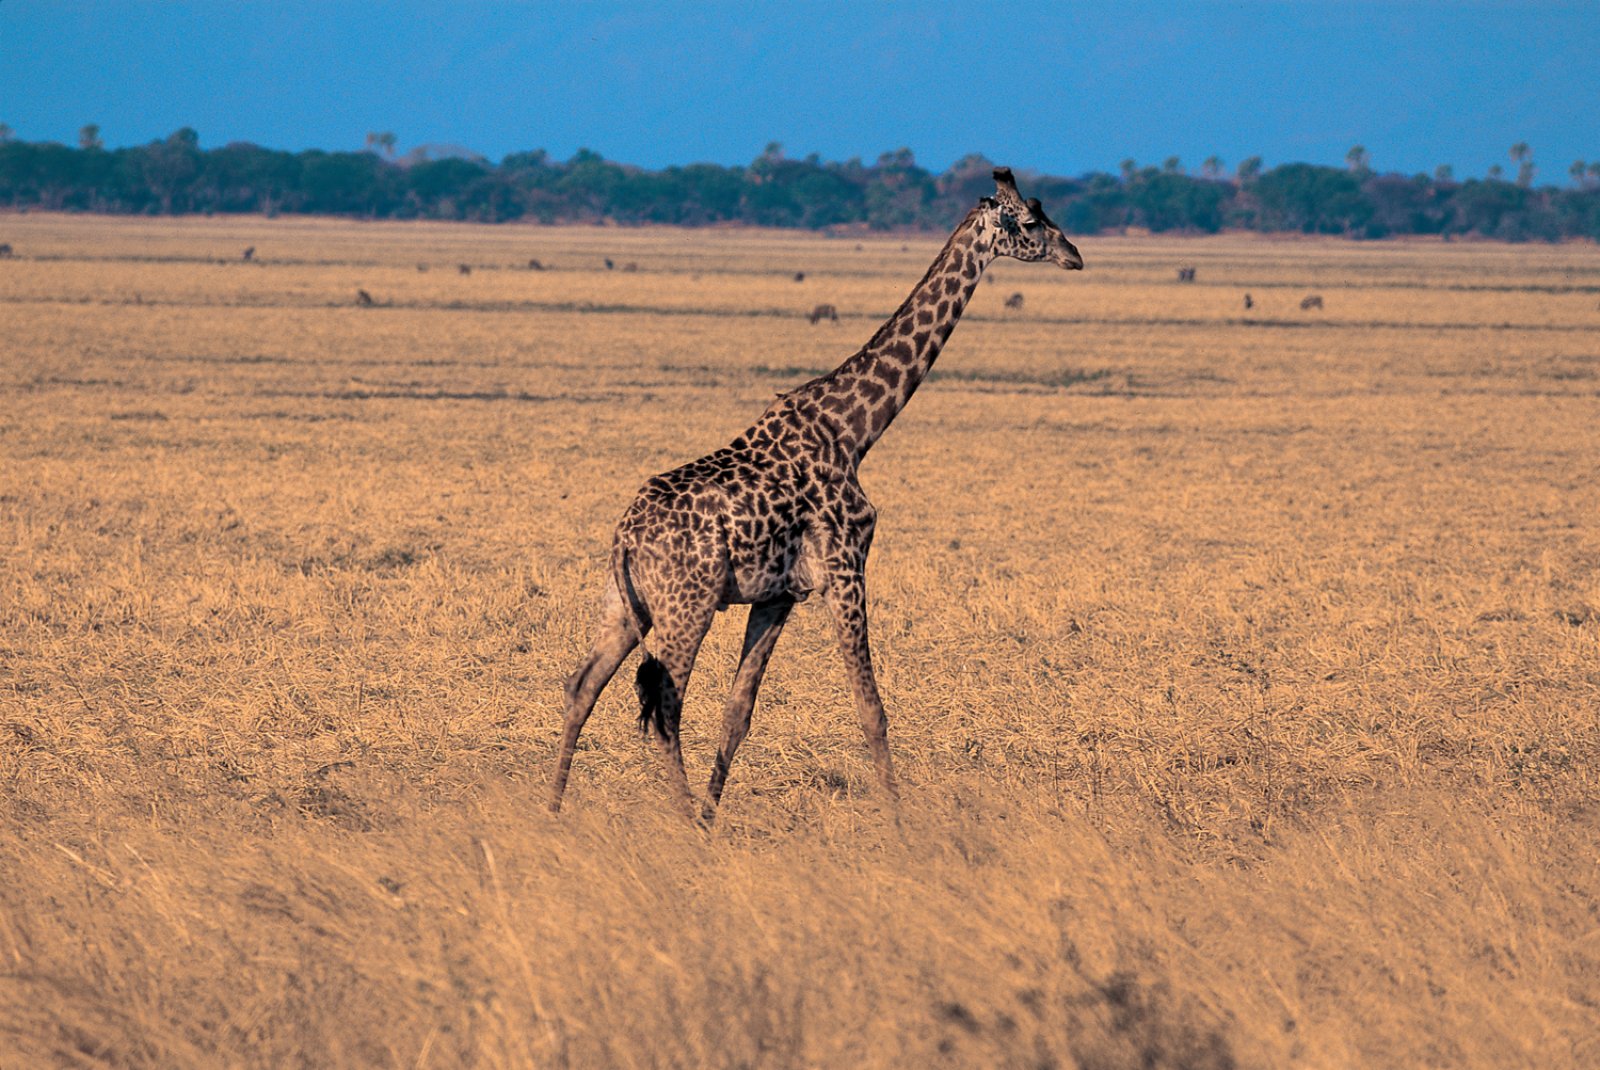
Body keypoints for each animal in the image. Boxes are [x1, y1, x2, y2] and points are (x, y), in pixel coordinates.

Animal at [550, 168, 1088, 818]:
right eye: (1031, 222)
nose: (1075, 255)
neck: (854, 431)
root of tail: (623, 538)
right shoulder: (846, 570)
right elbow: (871, 709)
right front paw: (901, 821)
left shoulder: (778, 595)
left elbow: (739, 713)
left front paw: (713, 816)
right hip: (687, 605)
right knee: (665, 703)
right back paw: (676, 816)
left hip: (625, 605)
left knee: (582, 685)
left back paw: (552, 808)